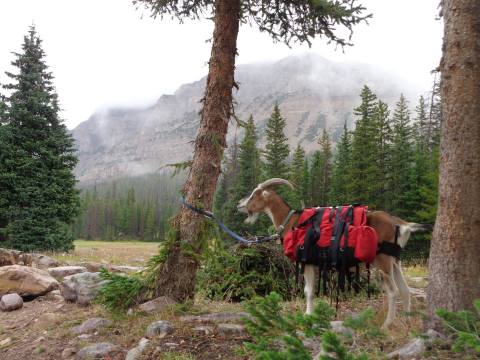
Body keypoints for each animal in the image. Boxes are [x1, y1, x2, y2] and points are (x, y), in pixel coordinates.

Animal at [238, 178, 434, 330]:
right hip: (395, 261)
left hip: (383, 261)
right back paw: (407, 322)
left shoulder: (307, 261)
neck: (291, 221)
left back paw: (386, 325)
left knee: (393, 292)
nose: (239, 205)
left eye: (255, 194)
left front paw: (307, 315)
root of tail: (400, 224)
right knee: (405, 290)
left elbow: (308, 291)